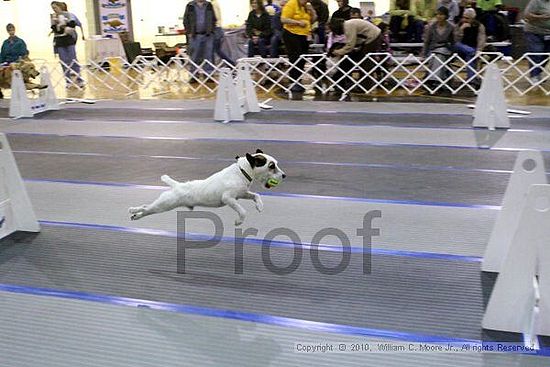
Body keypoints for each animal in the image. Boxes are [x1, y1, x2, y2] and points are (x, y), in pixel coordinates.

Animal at [128, 150, 286, 226]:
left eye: (275, 164)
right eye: (271, 166)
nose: (284, 175)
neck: (242, 171)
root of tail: (177, 185)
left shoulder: (242, 194)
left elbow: (256, 195)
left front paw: (259, 206)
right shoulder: (229, 198)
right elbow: (242, 211)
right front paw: (239, 221)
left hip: (163, 205)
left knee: (146, 207)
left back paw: (135, 214)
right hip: (164, 205)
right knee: (147, 208)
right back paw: (134, 211)